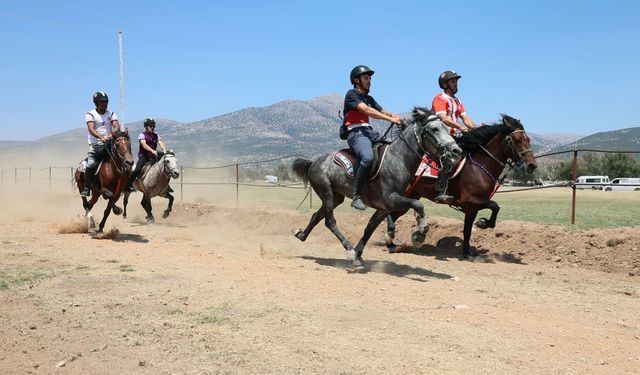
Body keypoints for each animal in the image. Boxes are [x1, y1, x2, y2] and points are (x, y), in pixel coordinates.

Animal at [292, 108, 462, 270]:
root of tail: (313, 161)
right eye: (434, 129)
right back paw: (348, 249)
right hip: (326, 191)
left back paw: (302, 235)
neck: (398, 159)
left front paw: (358, 257)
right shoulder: (390, 200)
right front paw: (419, 233)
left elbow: (370, 228)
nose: (456, 151)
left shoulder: (384, 208)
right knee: (330, 221)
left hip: (336, 197)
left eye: (448, 128)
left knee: (317, 216)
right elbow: (418, 205)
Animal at [382, 115, 536, 258]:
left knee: (391, 214)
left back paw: (392, 243)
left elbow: (468, 229)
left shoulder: (472, 208)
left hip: (410, 196)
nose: (532, 165)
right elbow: (495, 205)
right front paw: (483, 223)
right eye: (517, 140)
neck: (478, 167)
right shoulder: (470, 202)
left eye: (528, 139)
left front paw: (467, 252)